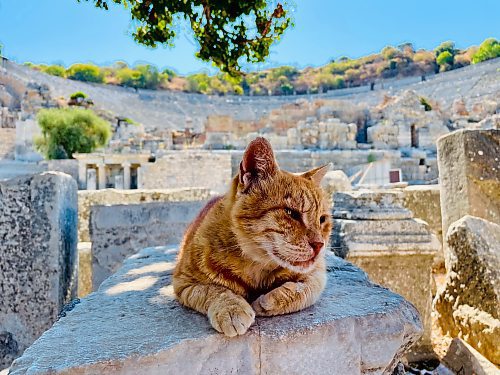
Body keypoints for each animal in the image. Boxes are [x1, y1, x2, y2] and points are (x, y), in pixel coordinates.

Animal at [172, 137, 332, 338]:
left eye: (322, 219)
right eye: (291, 213)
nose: (319, 244)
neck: (256, 266)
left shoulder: (317, 273)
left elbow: (303, 289)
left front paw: (268, 301)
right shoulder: (184, 282)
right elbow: (214, 290)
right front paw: (231, 309)